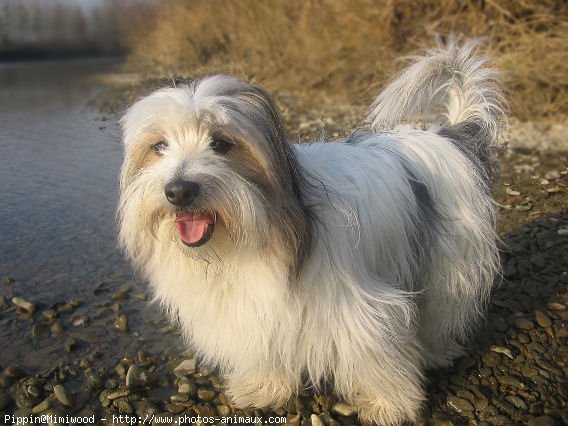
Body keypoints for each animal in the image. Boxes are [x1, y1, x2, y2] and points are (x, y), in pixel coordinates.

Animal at [118, 39, 506, 422]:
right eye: (159, 146)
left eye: (221, 143)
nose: (179, 190)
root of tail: (449, 134)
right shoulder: (256, 311)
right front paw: (263, 387)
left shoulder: (358, 309)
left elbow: (376, 354)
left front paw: (389, 403)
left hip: (450, 261)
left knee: (444, 307)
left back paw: (437, 350)